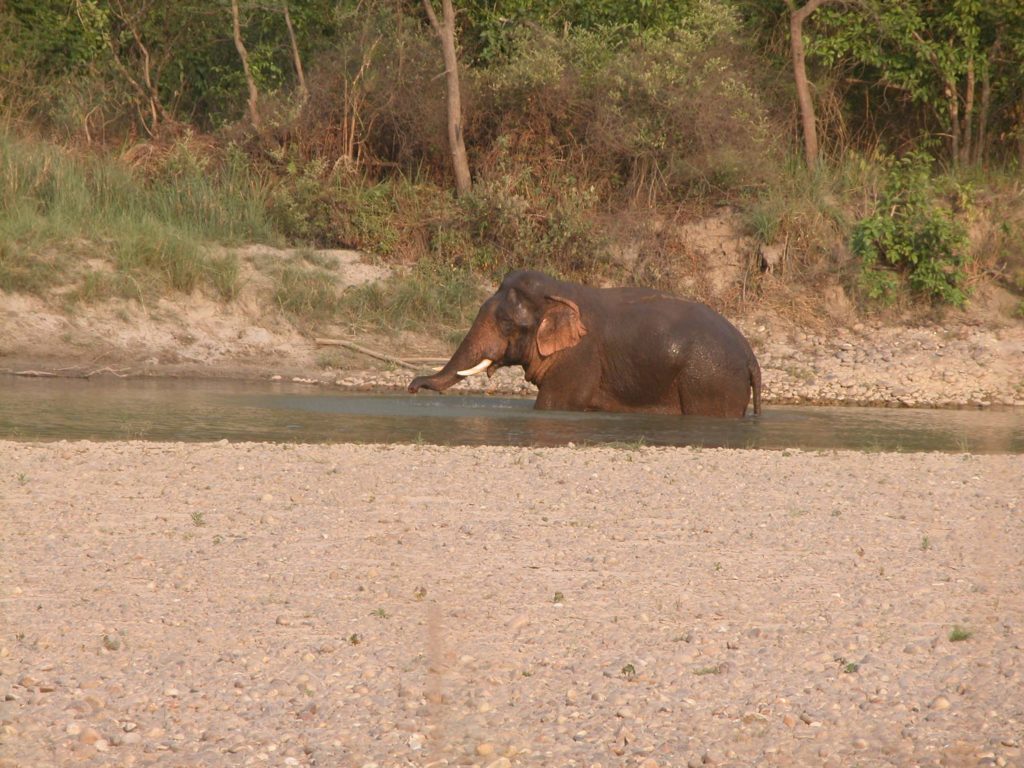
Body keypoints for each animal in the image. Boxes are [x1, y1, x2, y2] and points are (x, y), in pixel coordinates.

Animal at [407, 268, 761, 417]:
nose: (412, 386)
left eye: (507, 324)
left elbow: (554, 405)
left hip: (709, 380)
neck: (561, 291)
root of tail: (750, 355)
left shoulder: (580, 357)